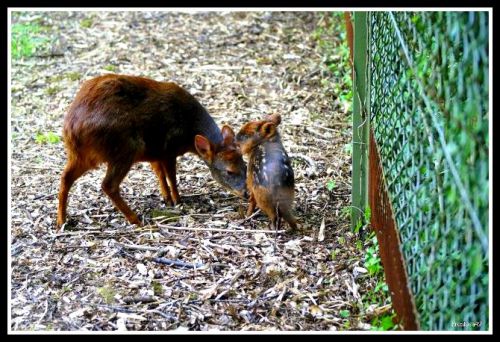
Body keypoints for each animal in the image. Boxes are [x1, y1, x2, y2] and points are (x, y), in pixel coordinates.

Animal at [56, 74, 248, 230]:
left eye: (245, 166)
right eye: (229, 171)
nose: (247, 193)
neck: (188, 131)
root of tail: (72, 129)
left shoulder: (155, 152)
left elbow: (159, 174)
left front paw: (166, 198)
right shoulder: (169, 149)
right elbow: (171, 176)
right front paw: (177, 200)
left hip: (83, 155)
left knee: (65, 177)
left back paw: (61, 221)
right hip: (125, 148)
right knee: (108, 184)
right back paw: (136, 220)